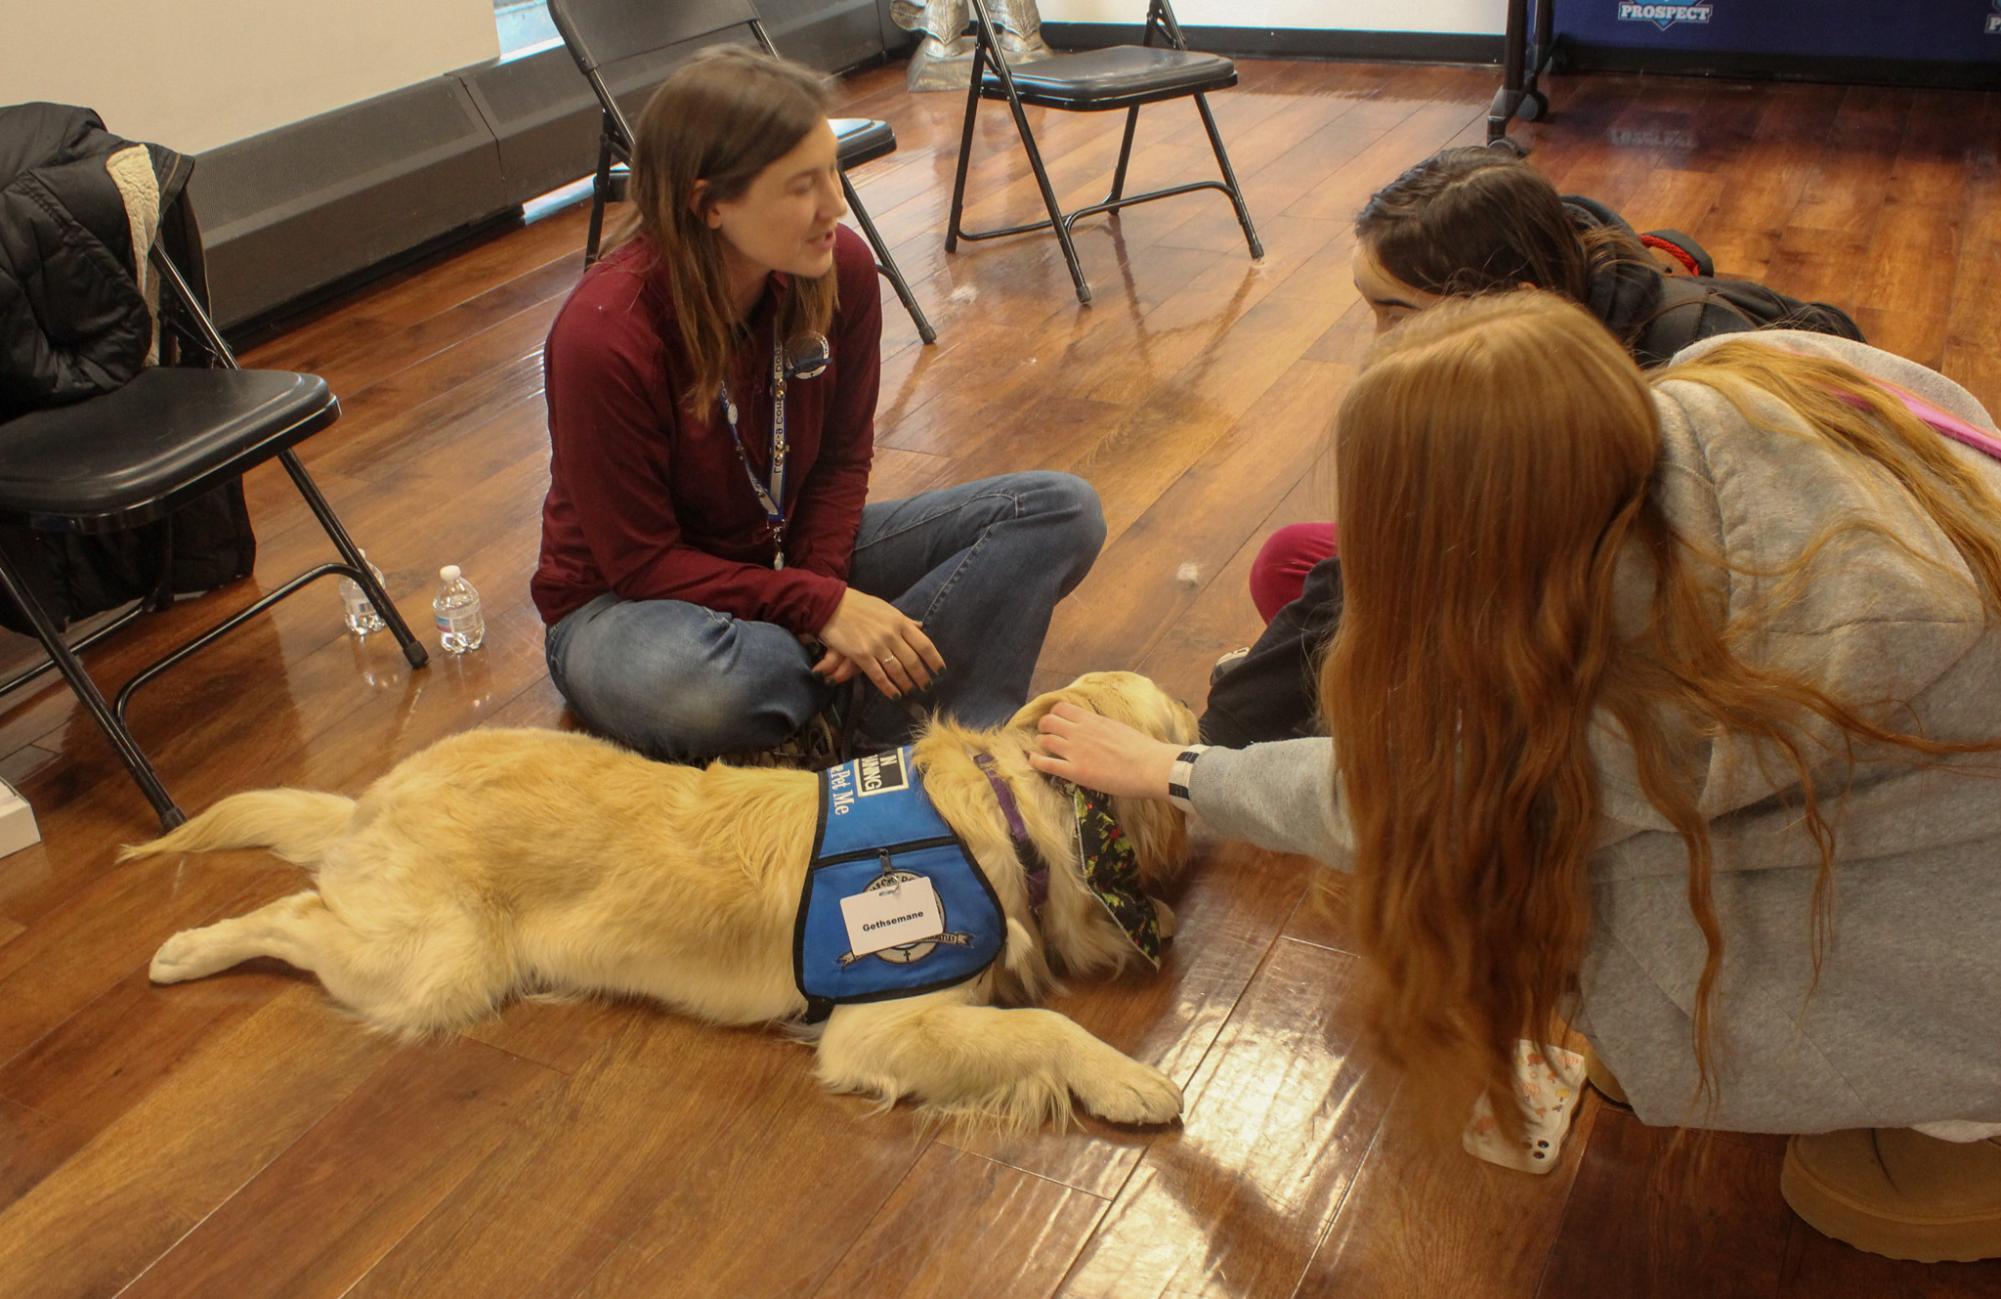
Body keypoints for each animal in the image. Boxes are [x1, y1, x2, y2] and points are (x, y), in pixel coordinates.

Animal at [125, 668, 1192, 1120]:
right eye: (1182, 718)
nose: (1209, 708)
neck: (1002, 813)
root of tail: (376, 794)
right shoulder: (882, 1021)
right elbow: (1044, 1028)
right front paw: (1127, 1079)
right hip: (434, 967)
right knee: (292, 914)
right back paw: (181, 950)